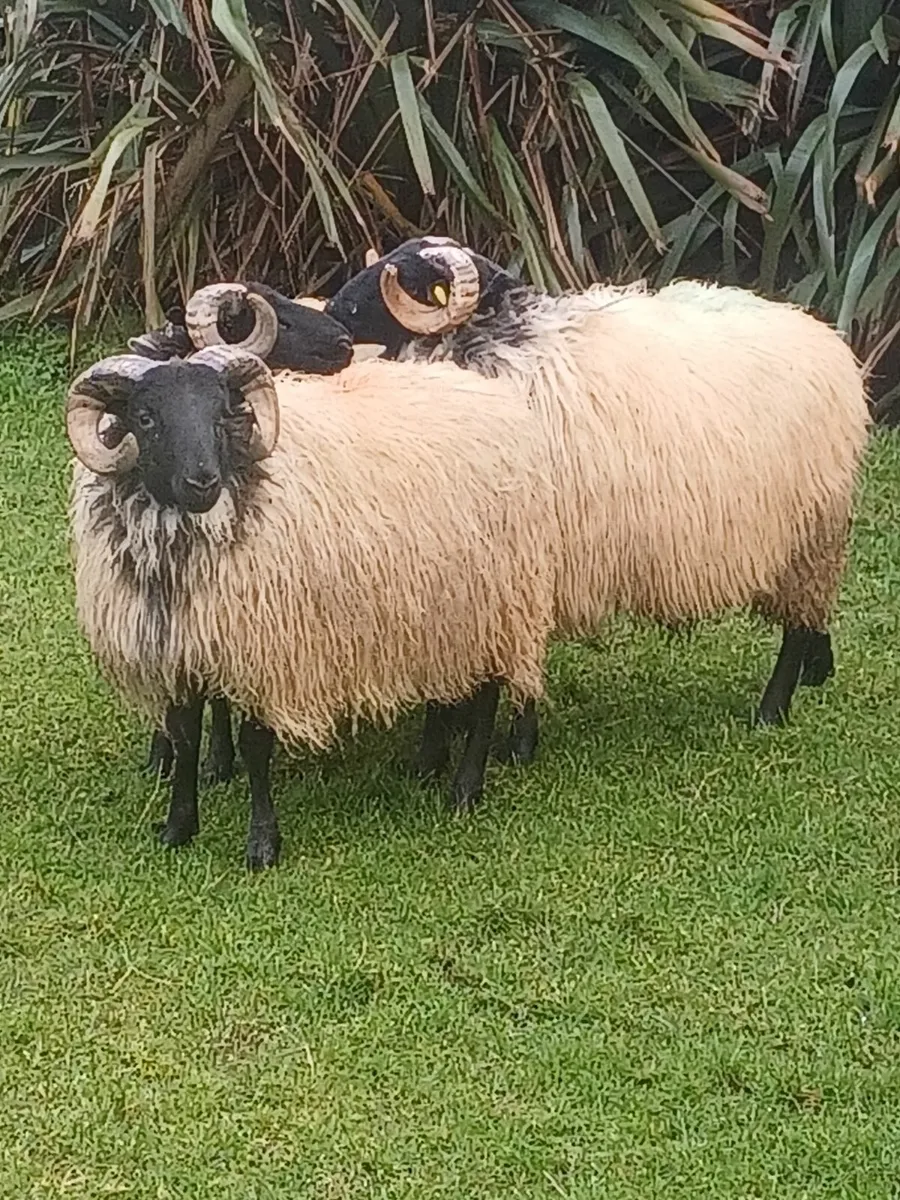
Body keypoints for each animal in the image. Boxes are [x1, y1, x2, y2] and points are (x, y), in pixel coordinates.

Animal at [65, 345, 556, 869]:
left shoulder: (269, 652)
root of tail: (494, 395)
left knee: (486, 695)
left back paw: (464, 790)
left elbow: (255, 747)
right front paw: (178, 828)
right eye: (145, 418)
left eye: (222, 414)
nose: (203, 481)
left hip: (497, 596)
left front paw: (262, 844)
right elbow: (185, 738)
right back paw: (427, 764)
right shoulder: (180, 648)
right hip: (447, 608)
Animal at [325, 237, 871, 767]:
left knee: (797, 628)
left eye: (403, 278)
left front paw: (517, 748)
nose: (332, 316)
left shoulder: (532, 562)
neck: (501, 356)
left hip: (811, 534)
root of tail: (822, 333)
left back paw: (771, 710)